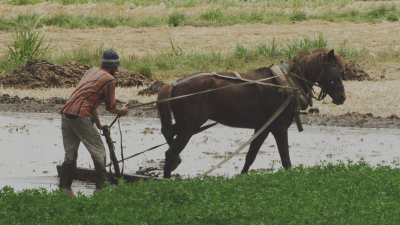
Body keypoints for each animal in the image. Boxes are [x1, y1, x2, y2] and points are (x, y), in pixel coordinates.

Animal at [158, 48, 346, 178]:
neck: (286, 82)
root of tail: (174, 84)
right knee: (170, 152)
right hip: (189, 126)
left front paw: (242, 177)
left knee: (168, 135)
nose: (342, 97)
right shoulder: (279, 128)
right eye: (334, 69)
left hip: (187, 125)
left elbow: (251, 156)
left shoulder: (262, 128)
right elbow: (285, 158)